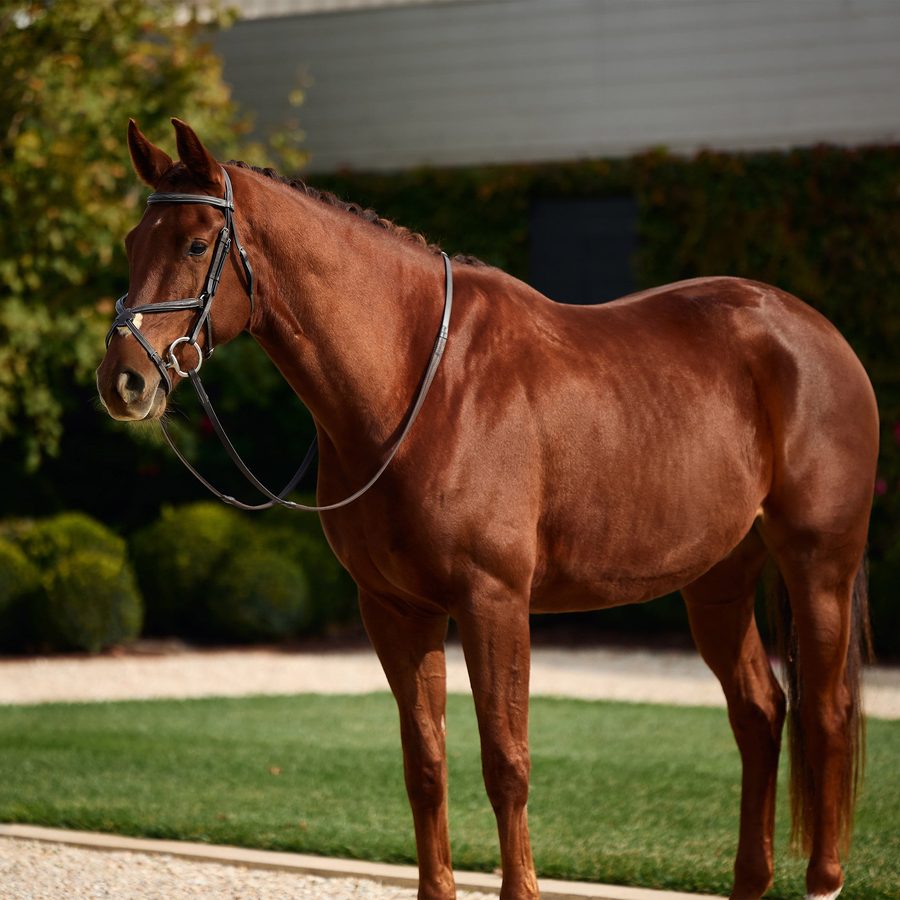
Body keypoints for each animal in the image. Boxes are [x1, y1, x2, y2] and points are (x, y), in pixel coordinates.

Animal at [96, 119, 878, 900]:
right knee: (760, 712)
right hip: (718, 580)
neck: (419, 379)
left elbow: (506, 762)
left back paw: (824, 878)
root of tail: (819, 335)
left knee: (827, 715)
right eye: (134, 241)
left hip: (818, 566)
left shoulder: (493, 601)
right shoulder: (395, 609)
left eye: (197, 244)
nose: (123, 380)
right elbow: (425, 763)